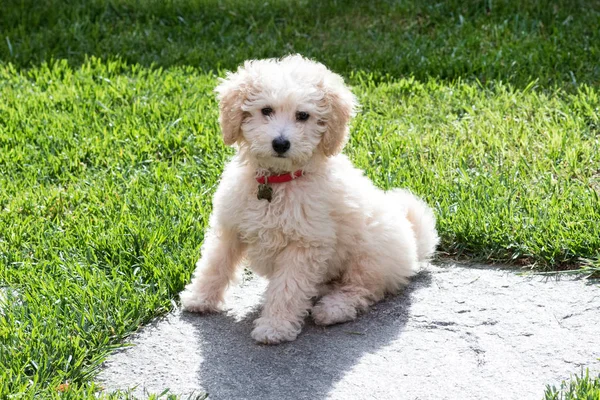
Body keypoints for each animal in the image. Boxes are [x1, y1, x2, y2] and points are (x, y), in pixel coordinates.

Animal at [178, 54, 436, 346]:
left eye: (303, 116)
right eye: (266, 110)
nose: (281, 143)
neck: (276, 182)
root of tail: (415, 247)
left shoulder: (303, 245)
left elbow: (287, 288)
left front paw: (274, 327)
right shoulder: (230, 226)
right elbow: (215, 264)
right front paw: (200, 298)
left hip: (370, 253)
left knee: (361, 288)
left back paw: (333, 308)